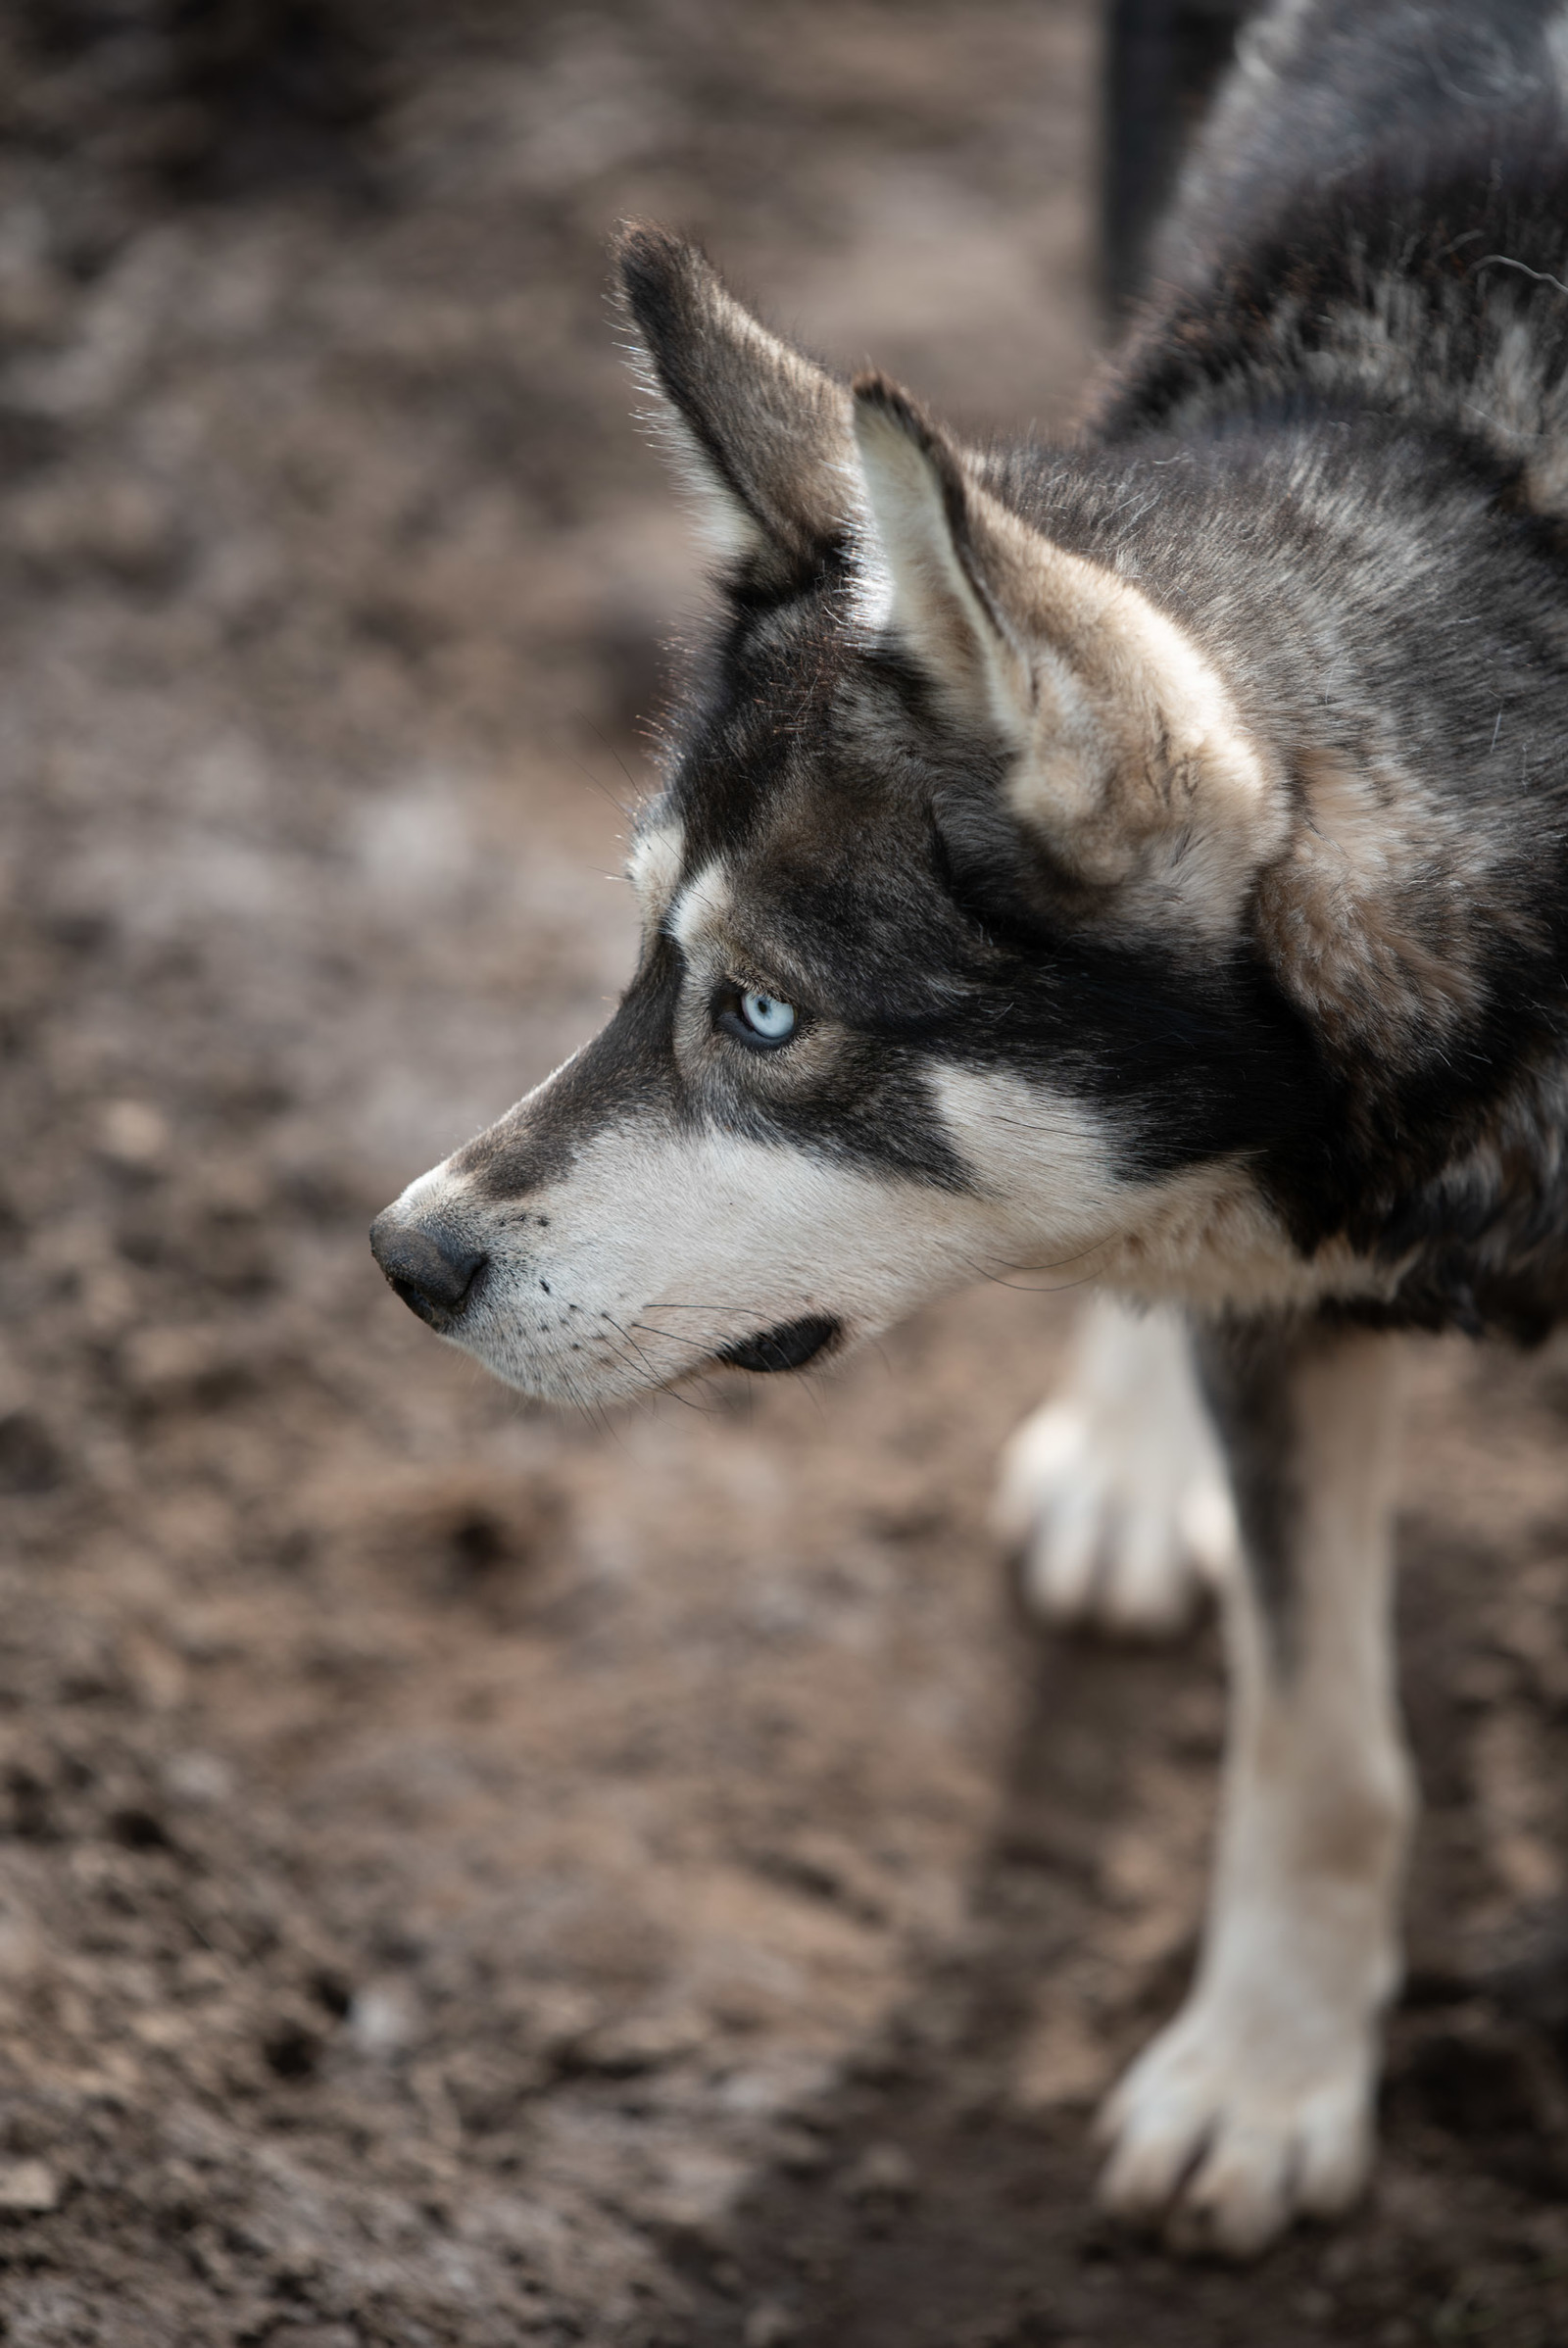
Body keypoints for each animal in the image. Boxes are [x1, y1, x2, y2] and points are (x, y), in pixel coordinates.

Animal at [370, 0, 1568, 2263]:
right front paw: (1267, 2077)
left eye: (763, 1015)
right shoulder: (1295, 1310)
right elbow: (1313, 1749)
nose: (406, 1255)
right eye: (638, 957)